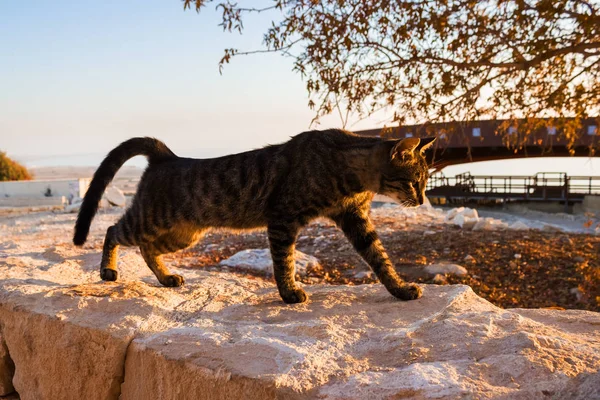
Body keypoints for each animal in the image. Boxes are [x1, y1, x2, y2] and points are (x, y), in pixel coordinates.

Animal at [74, 130, 436, 304]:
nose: (421, 199)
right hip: (151, 219)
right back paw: (107, 270)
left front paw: (400, 289)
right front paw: (289, 294)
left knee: (148, 249)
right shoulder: (282, 219)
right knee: (112, 229)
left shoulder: (355, 218)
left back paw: (165, 278)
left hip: (183, 233)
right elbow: (284, 262)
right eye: (414, 181)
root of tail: (166, 156)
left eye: (424, 181)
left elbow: (381, 260)